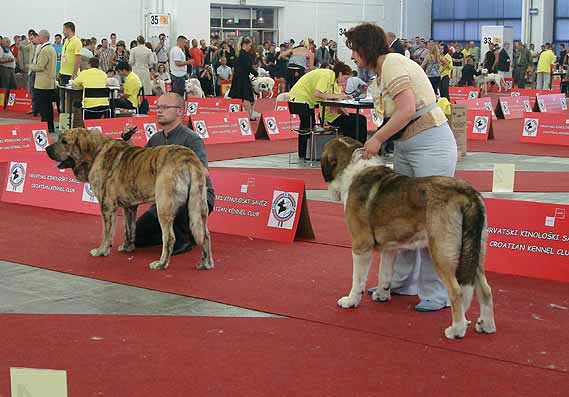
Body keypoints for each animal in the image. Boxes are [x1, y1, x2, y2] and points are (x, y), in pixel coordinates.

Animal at [45, 128, 214, 270]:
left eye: (64, 141)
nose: (46, 148)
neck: (95, 152)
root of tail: (189, 159)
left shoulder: (107, 206)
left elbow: (107, 232)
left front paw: (101, 251)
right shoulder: (129, 207)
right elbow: (129, 228)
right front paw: (127, 248)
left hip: (164, 206)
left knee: (170, 238)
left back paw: (161, 264)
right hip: (199, 205)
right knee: (205, 234)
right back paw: (205, 263)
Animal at [322, 137, 494, 340]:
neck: (351, 164)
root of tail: (466, 192)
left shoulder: (361, 246)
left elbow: (357, 279)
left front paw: (350, 301)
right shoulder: (390, 249)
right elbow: (385, 274)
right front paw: (382, 295)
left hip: (441, 252)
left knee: (457, 291)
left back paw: (457, 330)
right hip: (474, 251)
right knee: (485, 289)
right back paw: (486, 325)